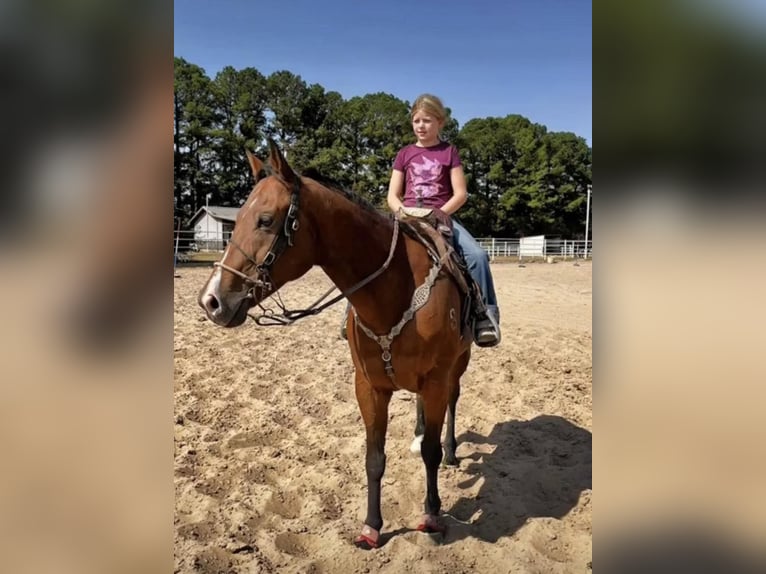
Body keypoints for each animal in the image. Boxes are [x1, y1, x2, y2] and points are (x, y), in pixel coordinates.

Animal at [198, 140, 474, 548]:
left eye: (265, 220)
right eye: (238, 219)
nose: (212, 300)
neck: (396, 290)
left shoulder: (436, 379)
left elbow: (431, 453)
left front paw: (431, 514)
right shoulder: (369, 386)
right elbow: (374, 458)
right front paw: (371, 528)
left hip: (459, 363)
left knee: (452, 403)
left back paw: (452, 452)